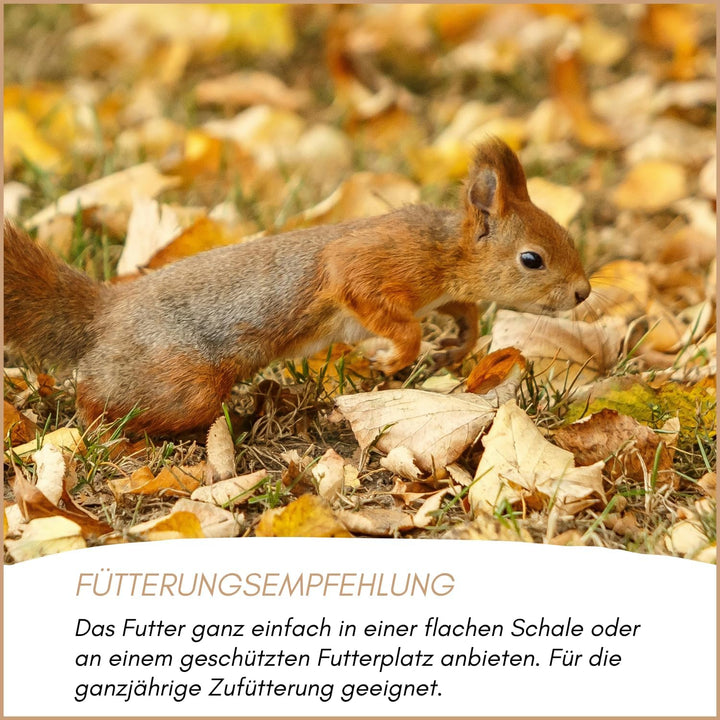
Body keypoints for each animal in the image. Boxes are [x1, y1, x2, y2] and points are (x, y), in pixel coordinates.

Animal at [4, 137, 590, 436]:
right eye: (532, 259)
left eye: (567, 235)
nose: (584, 292)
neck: (446, 249)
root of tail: (104, 313)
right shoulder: (375, 262)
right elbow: (379, 306)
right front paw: (395, 357)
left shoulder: (443, 290)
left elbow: (465, 310)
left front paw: (458, 344)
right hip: (180, 384)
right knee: (99, 402)